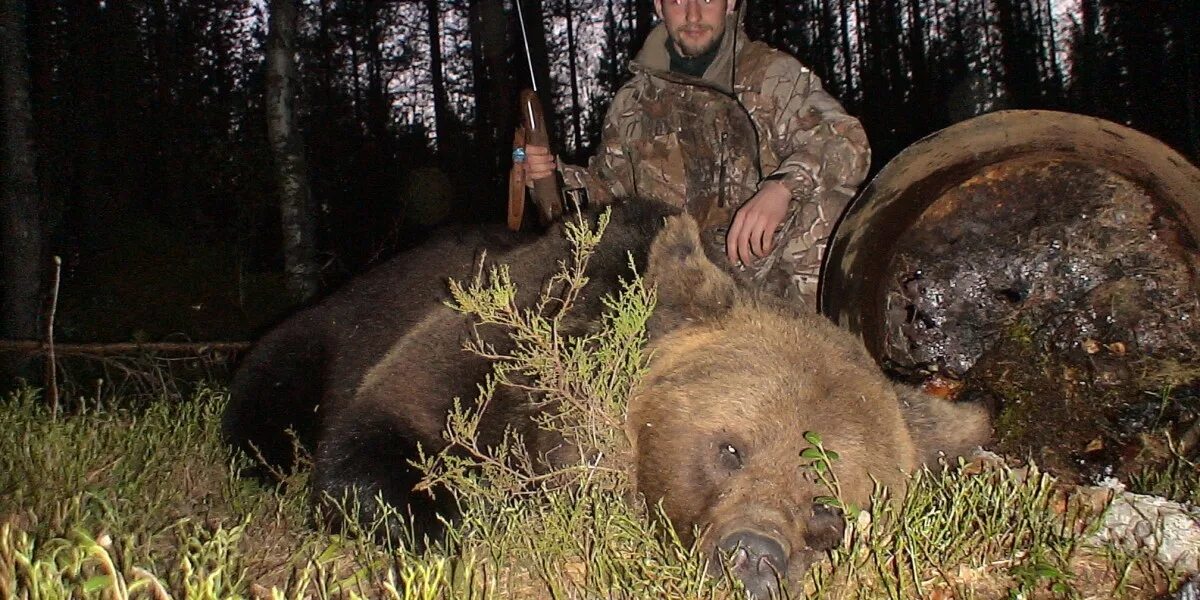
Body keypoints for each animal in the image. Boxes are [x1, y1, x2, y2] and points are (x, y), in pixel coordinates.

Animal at [220, 200, 988, 595]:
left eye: (827, 504)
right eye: (729, 447)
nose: (753, 554)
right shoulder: (489, 348)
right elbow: (383, 441)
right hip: (315, 337)